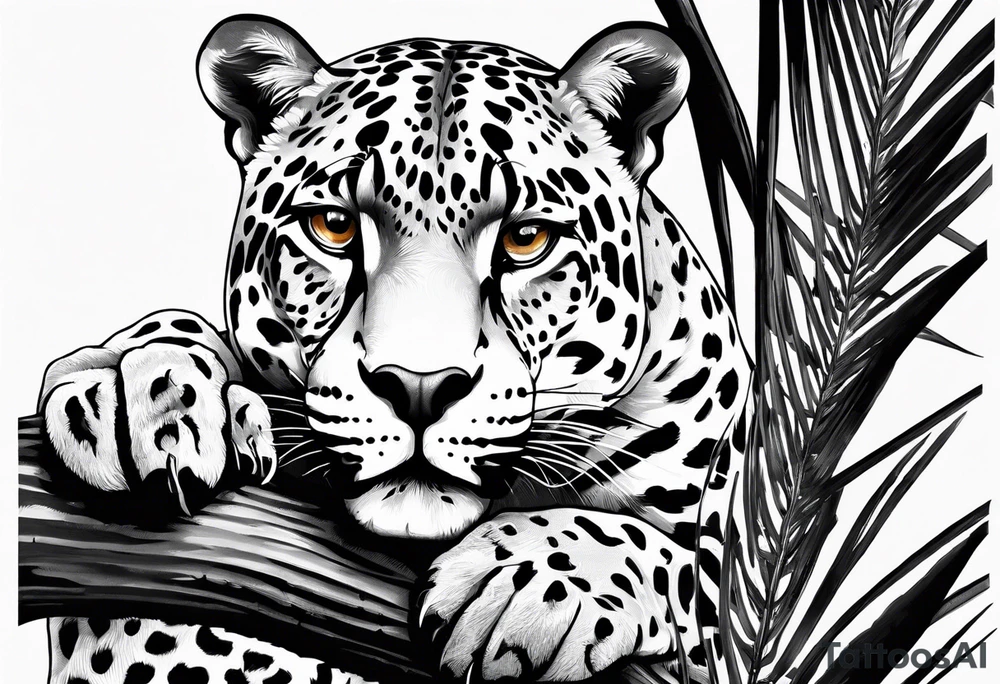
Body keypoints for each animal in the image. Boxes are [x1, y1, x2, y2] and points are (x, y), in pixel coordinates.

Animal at [38, 14, 751, 684]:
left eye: (525, 238)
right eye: (334, 226)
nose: (419, 386)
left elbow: (695, 567)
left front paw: (526, 581)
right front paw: (138, 391)